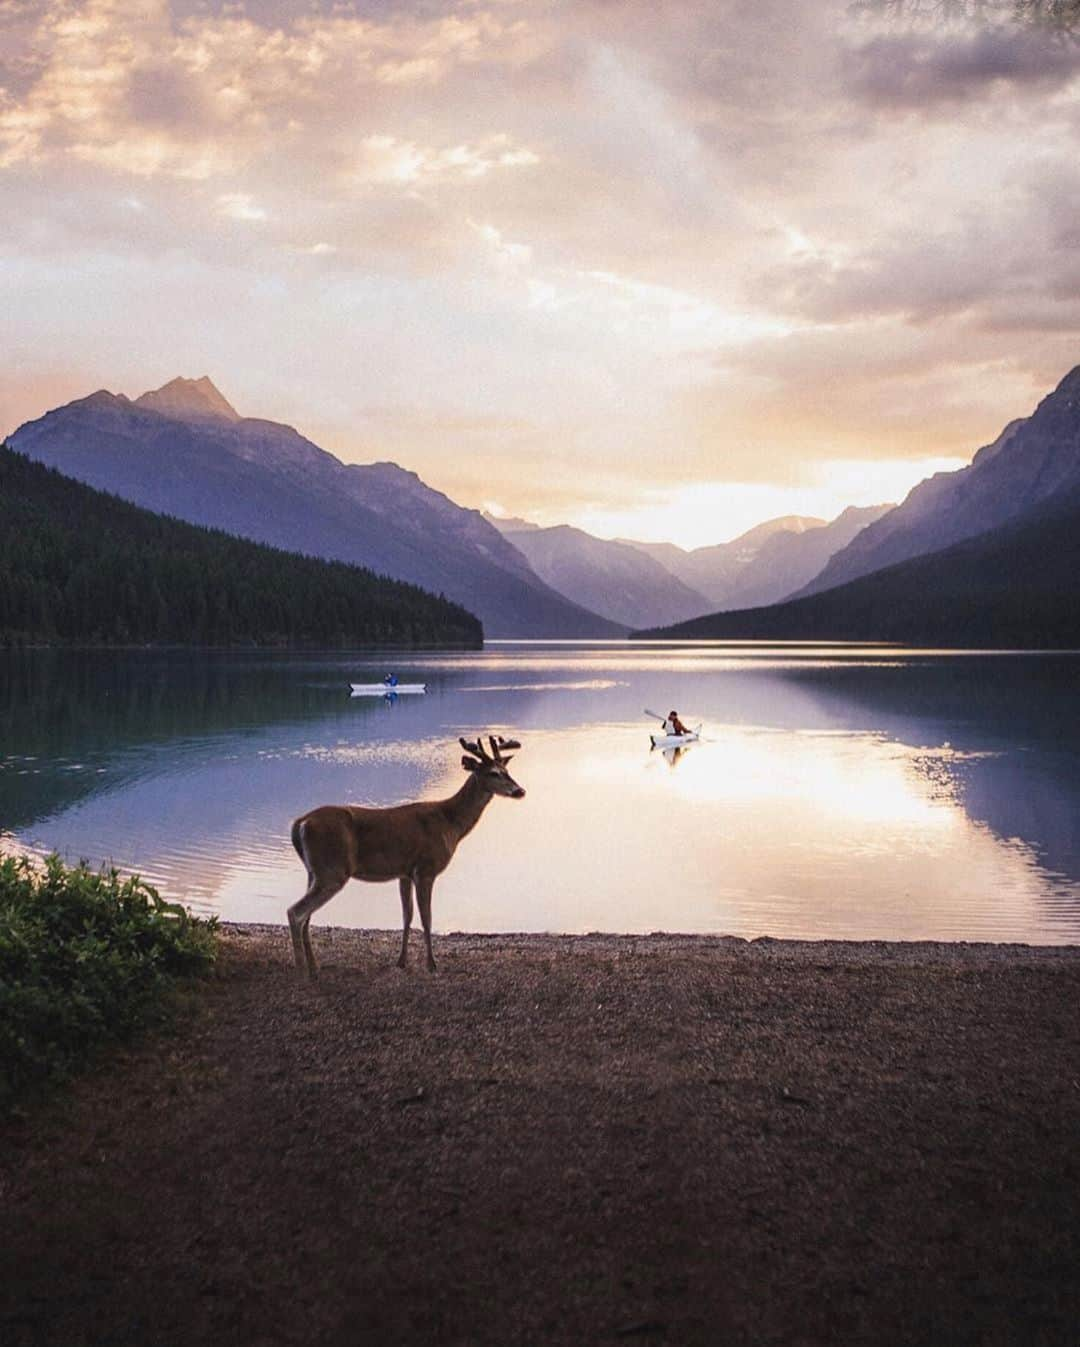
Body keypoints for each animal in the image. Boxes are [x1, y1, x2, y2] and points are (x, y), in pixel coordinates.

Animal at [285, 738, 522, 980]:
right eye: (494, 773)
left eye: (507, 770)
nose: (520, 791)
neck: (451, 824)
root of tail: (300, 823)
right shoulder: (425, 869)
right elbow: (426, 918)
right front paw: (431, 964)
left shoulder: (404, 873)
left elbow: (406, 916)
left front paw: (401, 961)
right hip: (332, 870)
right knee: (296, 912)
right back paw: (302, 971)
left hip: (314, 872)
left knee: (306, 916)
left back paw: (314, 968)